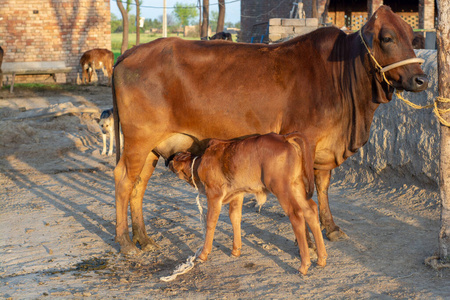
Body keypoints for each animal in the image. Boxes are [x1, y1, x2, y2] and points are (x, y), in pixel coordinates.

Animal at [112, 5, 428, 254]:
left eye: (412, 37)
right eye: (387, 38)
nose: (421, 79)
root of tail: (130, 53)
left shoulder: (324, 147)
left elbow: (323, 186)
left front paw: (331, 227)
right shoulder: (304, 140)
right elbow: (307, 191)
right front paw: (309, 241)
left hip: (152, 148)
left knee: (139, 185)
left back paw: (144, 238)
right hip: (138, 141)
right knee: (124, 180)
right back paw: (126, 243)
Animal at [167, 132, 326, 276]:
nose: (169, 161)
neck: (200, 162)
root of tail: (283, 138)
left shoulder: (214, 195)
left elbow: (210, 222)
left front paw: (203, 254)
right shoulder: (237, 194)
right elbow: (235, 217)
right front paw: (236, 250)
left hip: (281, 188)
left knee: (296, 214)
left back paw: (304, 265)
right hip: (296, 185)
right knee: (311, 210)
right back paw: (321, 258)